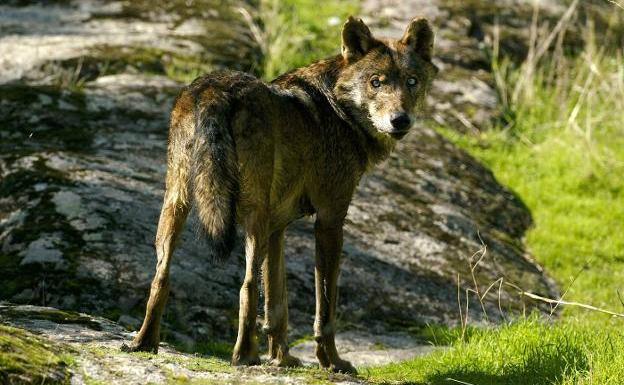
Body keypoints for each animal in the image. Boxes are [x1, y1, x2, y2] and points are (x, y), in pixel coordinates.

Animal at [120, 15, 434, 372]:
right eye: (376, 82)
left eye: (411, 81)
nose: (400, 120)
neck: (338, 109)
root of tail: (214, 88)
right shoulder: (329, 221)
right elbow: (324, 306)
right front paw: (331, 361)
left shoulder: (277, 228)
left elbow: (276, 304)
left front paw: (282, 359)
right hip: (251, 217)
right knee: (246, 285)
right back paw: (244, 356)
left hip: (177, 204)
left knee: (162, 275)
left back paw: (144, 343)